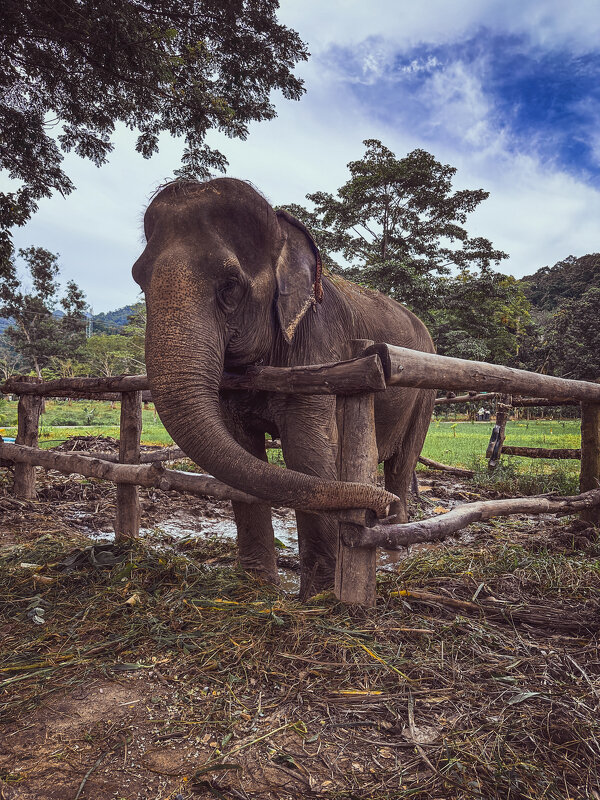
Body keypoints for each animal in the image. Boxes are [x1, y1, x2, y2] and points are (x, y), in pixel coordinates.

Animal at [132, 177, 436, 600]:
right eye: (138, 278)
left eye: (230, 286)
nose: (378, 509)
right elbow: (244, 451)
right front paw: (256, 589)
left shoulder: (319, 346)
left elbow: (307, 452)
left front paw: (319, 598)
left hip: (424, 392)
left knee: (401, 462)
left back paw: (394, 542)